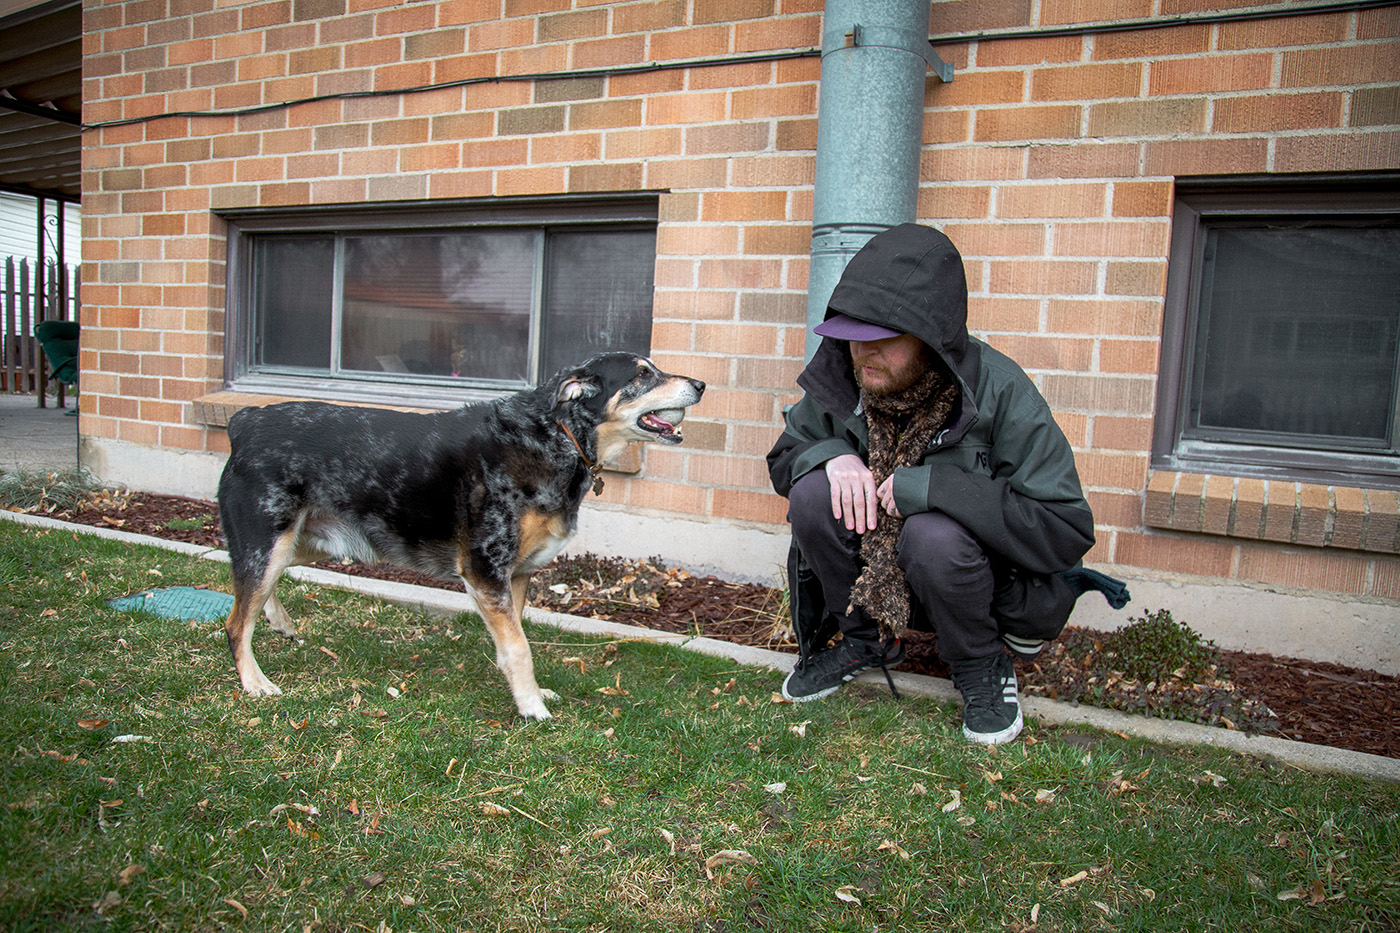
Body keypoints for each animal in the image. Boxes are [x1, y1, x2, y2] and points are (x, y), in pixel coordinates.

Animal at [214, 353, 705, 714]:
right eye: (643, 374)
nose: (701, 384)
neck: (555, 436)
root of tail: (245, 421)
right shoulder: (485, 568)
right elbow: (520, 647)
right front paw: (531, 707)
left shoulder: (516, 574)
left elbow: (513, 640)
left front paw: (525, 690)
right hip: (267, 541)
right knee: (237, 620)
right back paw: (254, 681)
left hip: (303, 544)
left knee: (254, 590)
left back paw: (279, 623)